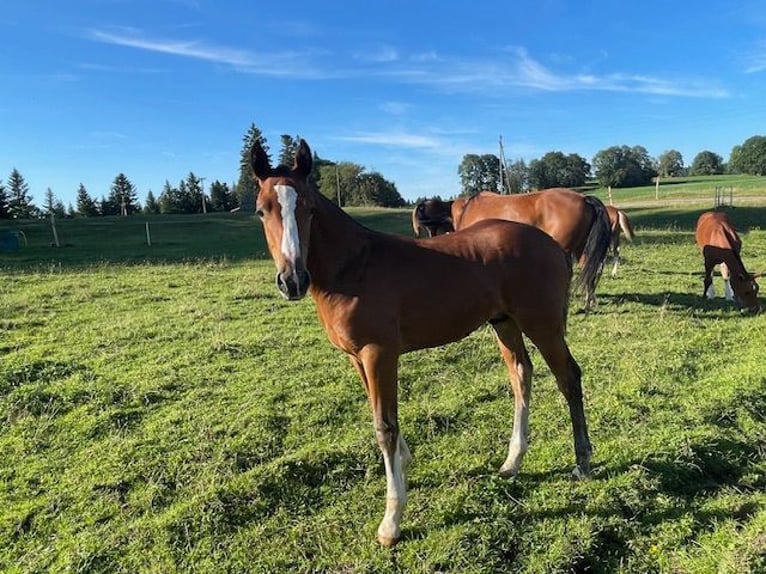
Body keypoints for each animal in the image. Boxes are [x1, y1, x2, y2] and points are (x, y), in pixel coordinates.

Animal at [252, 138, 592, 548]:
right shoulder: (357, 358)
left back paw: (582, 462)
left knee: (568, 377)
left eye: (309, 208)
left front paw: (391, 521)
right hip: (505, 323)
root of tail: (552, 245)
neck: (354, 267)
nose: (292, 281)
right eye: (261, 211)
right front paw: (405, 463)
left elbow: (384, 425)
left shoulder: (379, 353)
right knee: (520, 375)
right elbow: (381, 416)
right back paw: (512, 462)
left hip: (542, 323)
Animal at [412, 190, 616, 308]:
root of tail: (584, 198)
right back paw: (589, 301)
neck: (465, 210)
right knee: (590, 272)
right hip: (582, 247)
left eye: (431, 227)